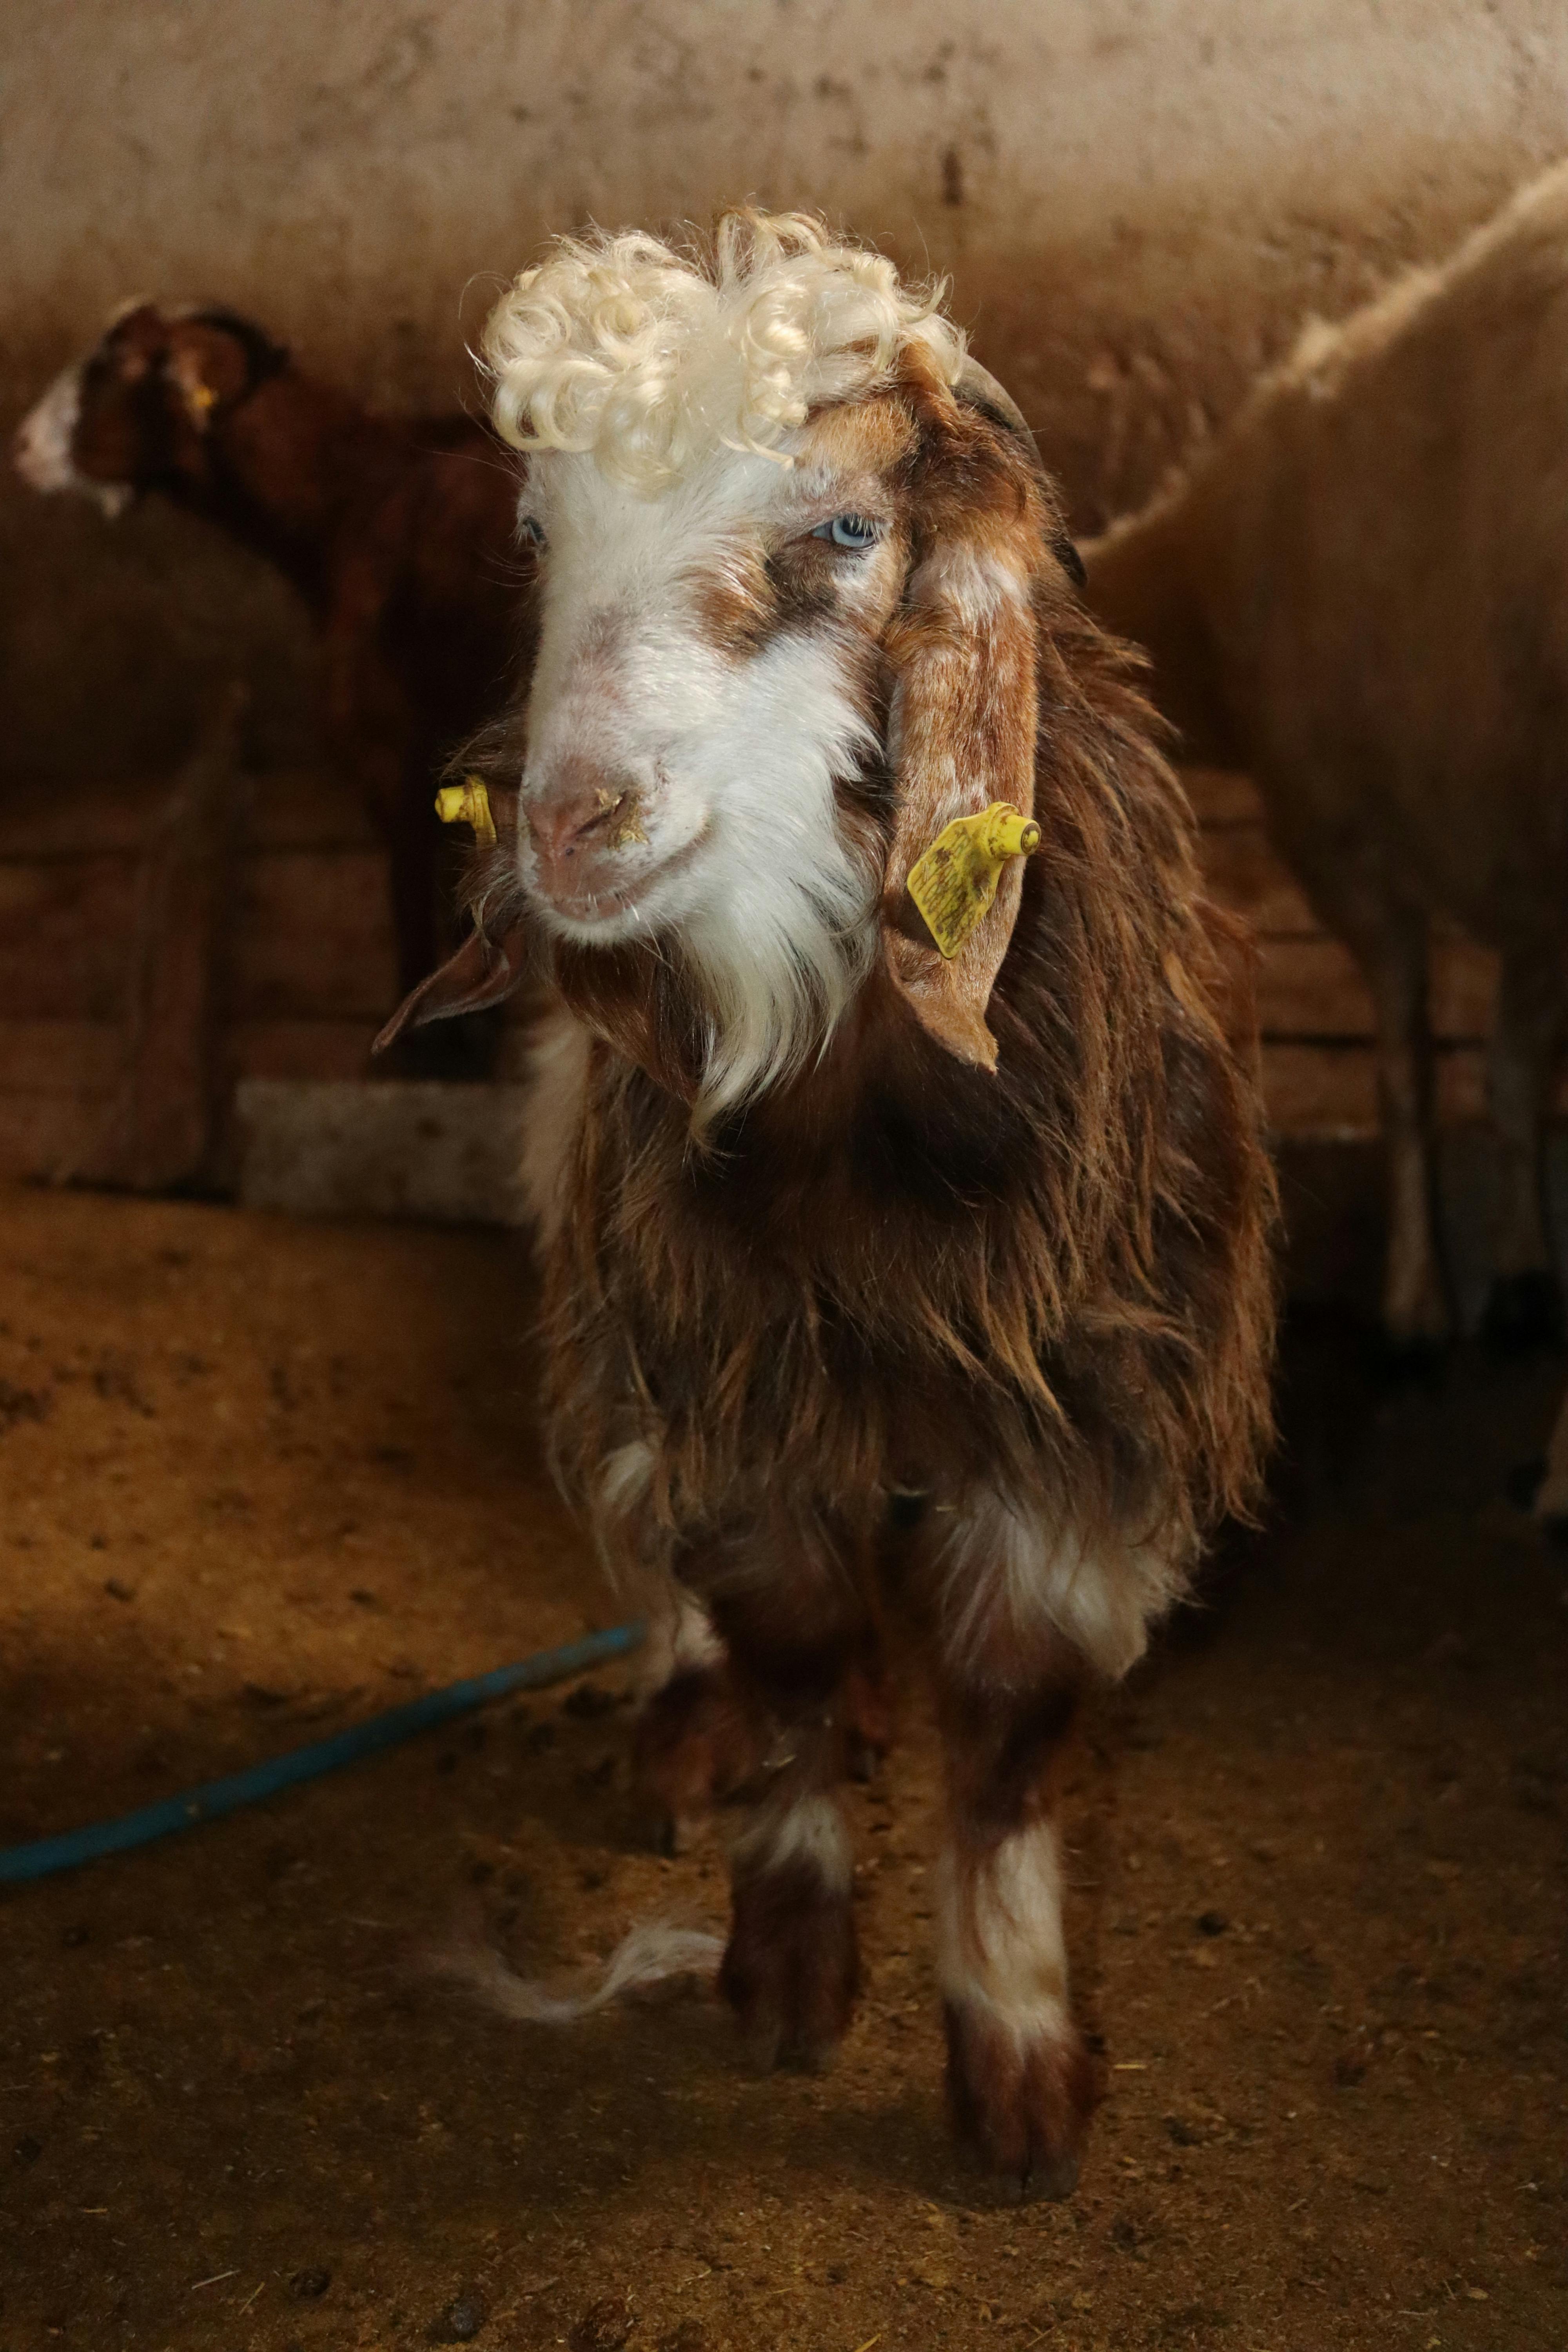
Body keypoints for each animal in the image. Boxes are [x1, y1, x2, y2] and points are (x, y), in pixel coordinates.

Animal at [13, 302, 530, 1070]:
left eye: (116, 365)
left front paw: (429, 1045)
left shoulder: (386, 738)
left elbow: (412, 880)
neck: (358, 495)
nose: (20, 446)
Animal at [385, 212, 1277, 2196]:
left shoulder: (1091, 1396)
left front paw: (1016, 2067)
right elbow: (782, 1634)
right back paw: (682, 1713)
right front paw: (790, 1958)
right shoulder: (732, 1359)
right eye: (537, 532)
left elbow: (1010, 1728)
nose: (567, 823)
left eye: (851, 531)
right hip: (604, 1267)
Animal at [1085, 162, 1568, 1355]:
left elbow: (1407, 1072)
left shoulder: (1343, 844)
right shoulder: (1523, 860)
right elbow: (1510, 1070)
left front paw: (1416, 1300)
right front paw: (1520, 1270)